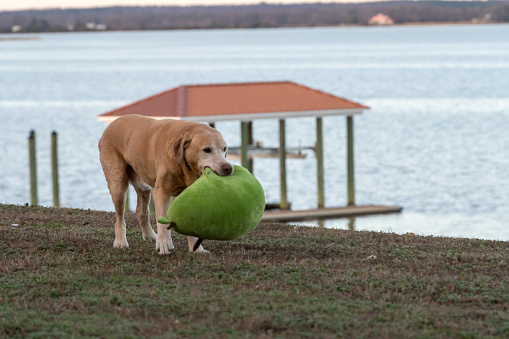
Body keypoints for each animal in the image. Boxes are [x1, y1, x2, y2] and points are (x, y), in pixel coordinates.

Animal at [98, 114, 233, 255]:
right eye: (207, 150)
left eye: (224, 149)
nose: (228, 168)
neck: (184, 165)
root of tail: (111, 124)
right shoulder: (161, 192)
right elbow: (162, 221)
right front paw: (164, 244)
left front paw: (196, 248)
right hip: (118, 183)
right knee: (119, 217)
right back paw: (120, 242)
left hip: (143, 185)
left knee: (142, 211)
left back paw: (150, 236)